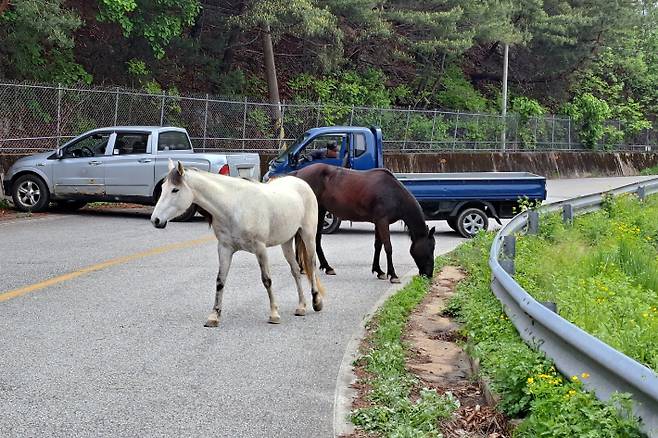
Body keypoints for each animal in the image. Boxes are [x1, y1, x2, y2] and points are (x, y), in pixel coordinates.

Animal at [149, 160, 322, 326]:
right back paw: (301, 306)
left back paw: (316, 301)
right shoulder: (225, 248)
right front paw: (214, 316)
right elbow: (220, 281)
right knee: (295, 270)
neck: (234, 207)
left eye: (175, 190)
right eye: (163, 187)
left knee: (311, 265)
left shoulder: (260, 249)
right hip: (286, 242)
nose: (155, 220)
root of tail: (301, 183)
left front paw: (274, 314)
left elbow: (267, 280)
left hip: (308, 236)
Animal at [292, 163, 436, 282]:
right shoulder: (383, 222)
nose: (429, 274)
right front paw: (393, 275)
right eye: (431, 248)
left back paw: (320, 267)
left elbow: (378, 245)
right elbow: (388, 247)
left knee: (312, 239)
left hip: (320, 210)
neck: (393, 193)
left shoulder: (379, 223)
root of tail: (298, 174)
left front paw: (379, 271)